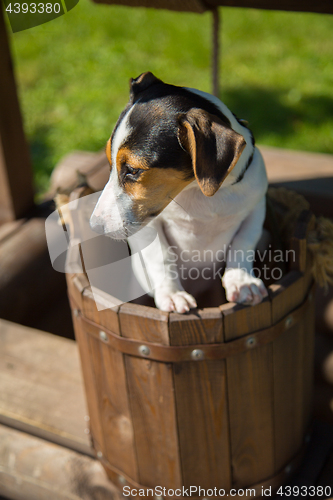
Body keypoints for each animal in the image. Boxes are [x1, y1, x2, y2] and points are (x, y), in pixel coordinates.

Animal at [89, 71, 268, 312]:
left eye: (134, 170)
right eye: (109, 160)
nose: (95, 227)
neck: (196, 191)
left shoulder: (256, 208)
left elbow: (243, 243)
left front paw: (242, 281)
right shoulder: (148, 226)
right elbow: (161, 256)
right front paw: (172, 293)